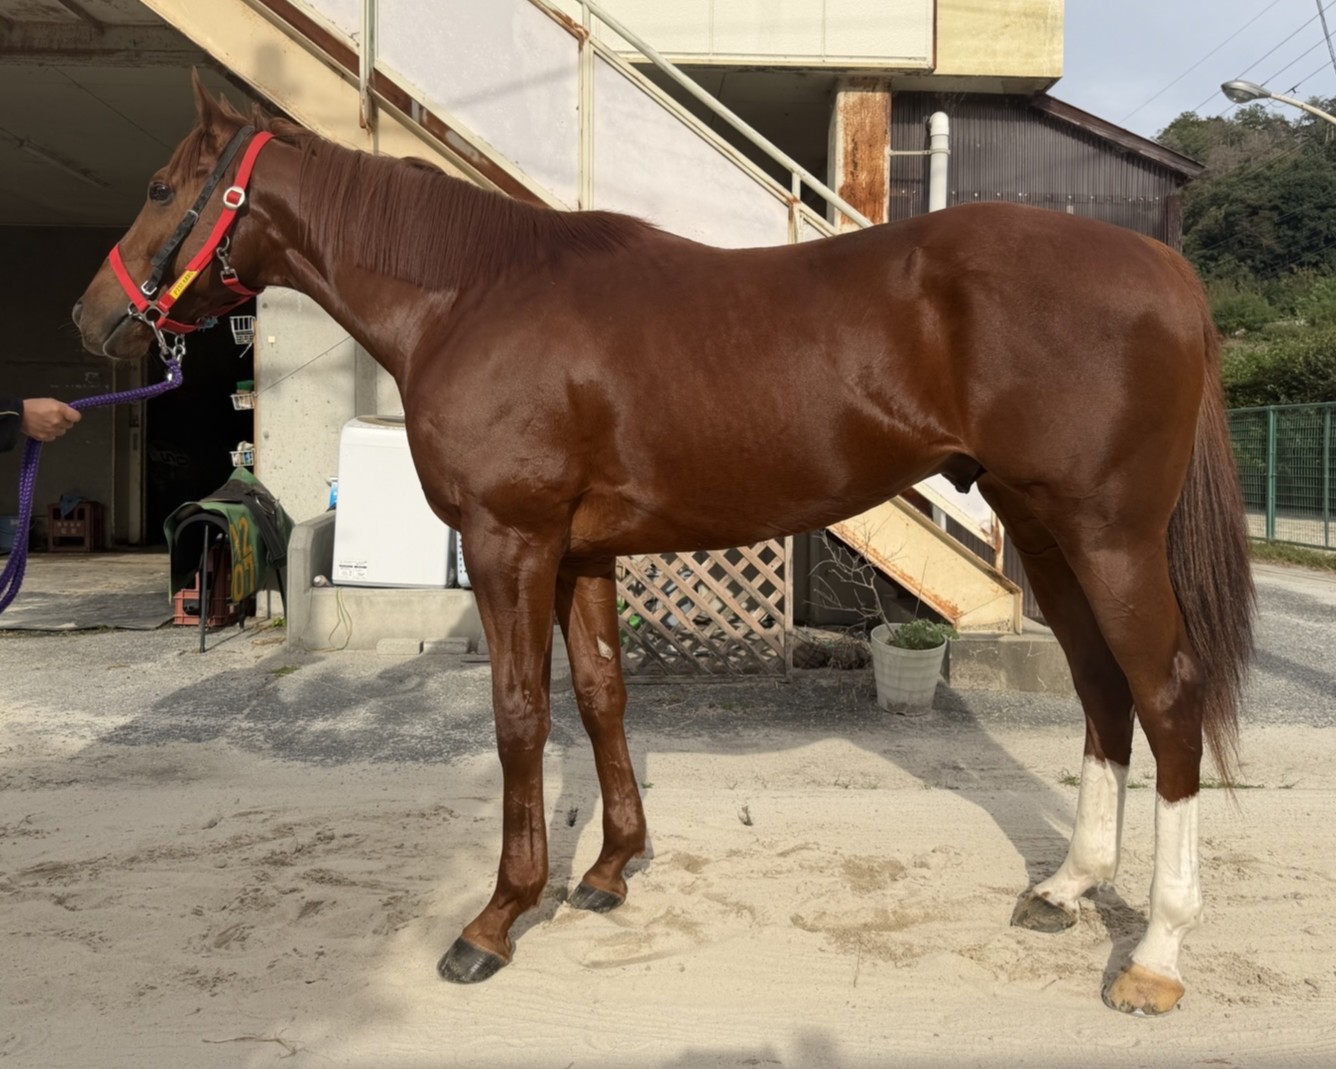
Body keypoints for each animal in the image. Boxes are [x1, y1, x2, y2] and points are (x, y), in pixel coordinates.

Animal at [72, 75, 1253, 1015]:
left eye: (163, 189)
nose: (92, 320)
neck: (474, 294)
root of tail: (1163, 266)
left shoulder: (512, 544)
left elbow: (519, 716)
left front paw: (497, 917)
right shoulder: (582, 555)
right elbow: (602, 694)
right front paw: (610, 870)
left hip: (1108, 538)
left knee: (1167, 697)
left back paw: (1156, 952)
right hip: (1050, 535)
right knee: (1103, 694)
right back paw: (1066, 887)